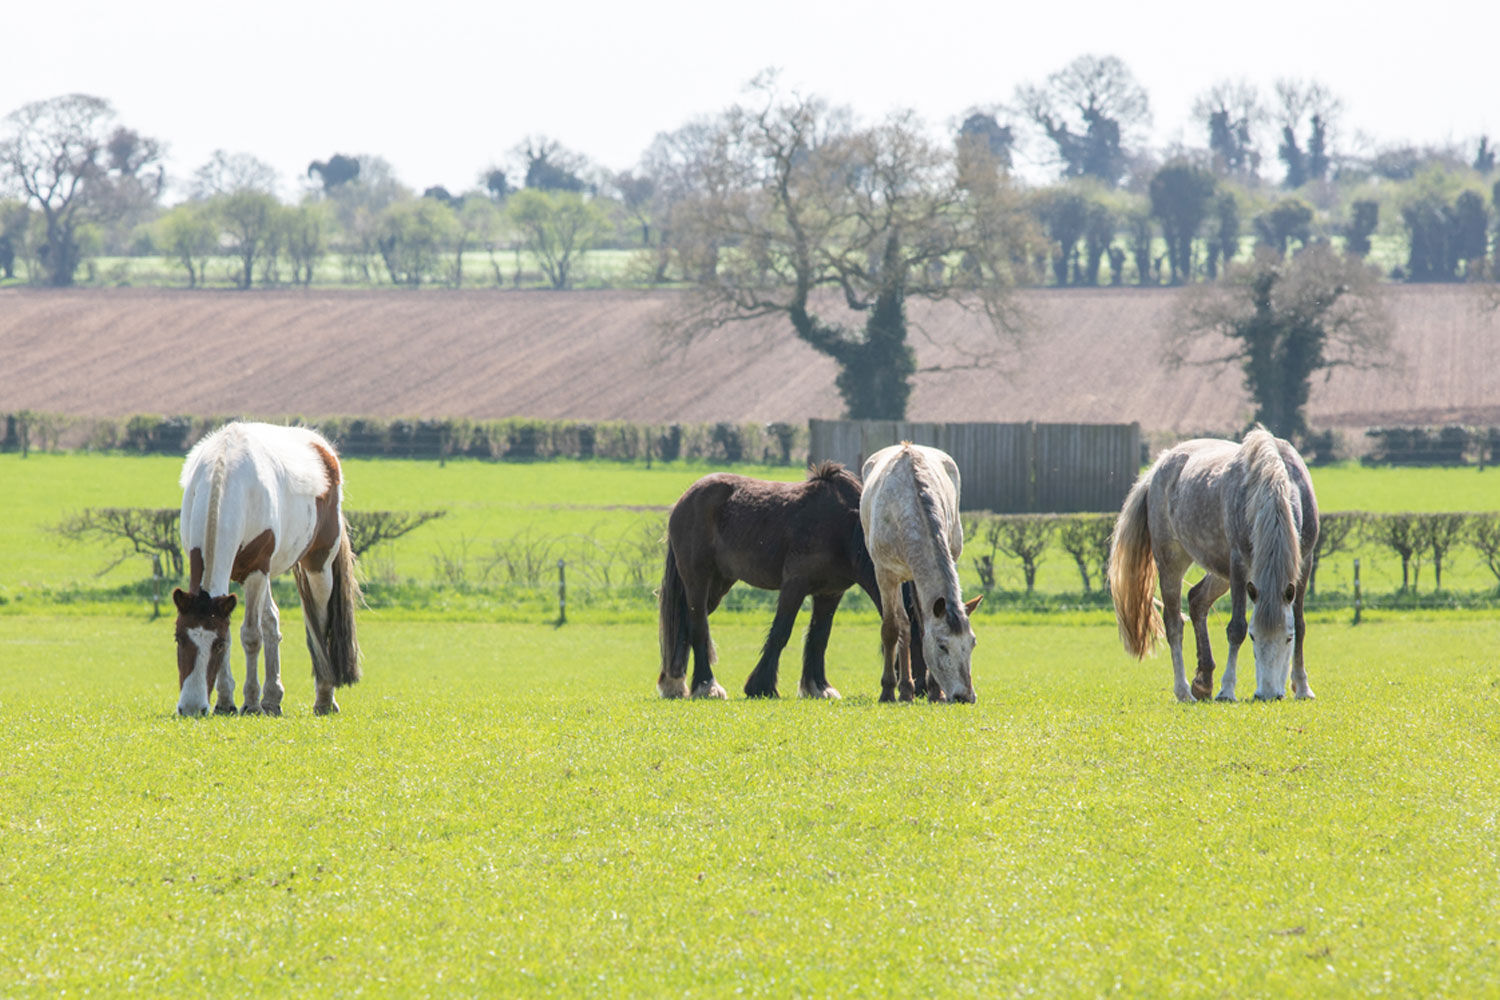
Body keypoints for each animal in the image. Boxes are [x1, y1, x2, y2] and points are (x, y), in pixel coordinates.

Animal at [171, 425, 360, 716]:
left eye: (218, 644)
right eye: (179, 638)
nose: (191, 708)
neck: (225, 474)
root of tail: (322, 446)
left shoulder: (256, 571)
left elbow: (250, 636)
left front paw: (250, 701)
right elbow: (249, 628)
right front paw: (225, 701)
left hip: (319, 566)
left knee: (320, 623)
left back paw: (324, 698)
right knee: (272, 620)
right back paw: (272, 698)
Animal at [654, 458, 876, 695]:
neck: (843, 526)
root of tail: (685, 499)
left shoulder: (830, 593)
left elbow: (819, 637)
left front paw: (818, 687)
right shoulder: (795, 584)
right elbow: (781, 631)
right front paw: (761, 685)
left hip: (718, 584)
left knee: (686, 623)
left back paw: (675, 684)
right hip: (698, 579)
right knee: (698, 626)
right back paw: (707, 686)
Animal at [858, 446, 984, 704]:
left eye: (973, 643)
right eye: (942, 646)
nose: (965, 696)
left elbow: (924, 627)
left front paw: (935, 691)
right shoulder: (884, 573)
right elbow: (891, 629)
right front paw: (887, 691)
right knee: (903, 625)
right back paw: (904, 689)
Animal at [1110, 428, 1320, 704]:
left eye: (1287, 638)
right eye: (1254, 636)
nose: (1267, 694)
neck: (1274, 482)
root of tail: (1160, 465)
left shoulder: (1303, 564)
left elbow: (1301, 624)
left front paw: (1303, 687)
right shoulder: (1239, 564)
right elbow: (1236, 628)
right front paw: (1227, 690)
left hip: (1221, 574)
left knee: (1197, 600)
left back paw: (1203, 681)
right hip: (1171, 562)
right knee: (1174, 623)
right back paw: (1184, 691)